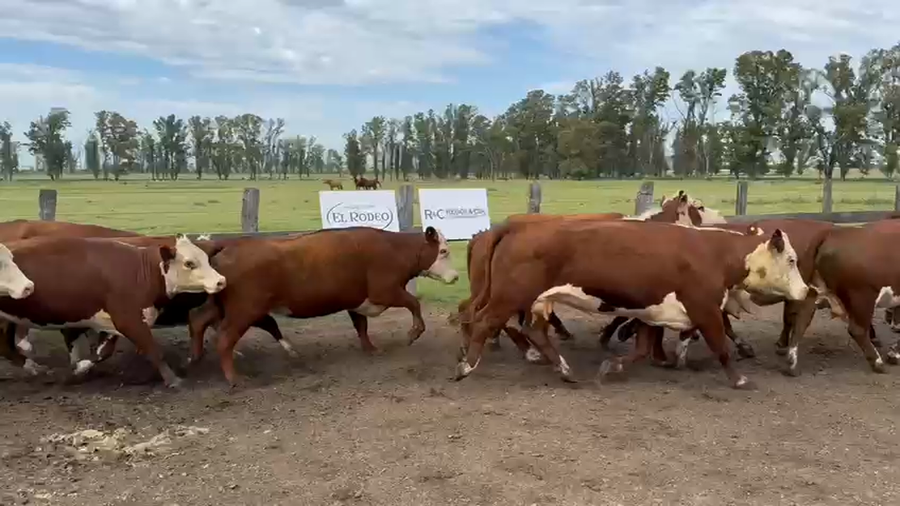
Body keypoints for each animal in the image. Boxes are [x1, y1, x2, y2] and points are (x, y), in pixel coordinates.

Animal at [0, 235, 226, 386]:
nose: (220, 281)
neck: (140, 271)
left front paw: (79, 368)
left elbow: (103, 352)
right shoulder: (129, 319)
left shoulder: (111, 323)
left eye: (207, 259)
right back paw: (33, 367)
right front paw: (173, 380)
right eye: (189, 263)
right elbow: (153, 350)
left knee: (7, 348)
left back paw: (34, 367)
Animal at [184, 226, 458, 386]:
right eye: (443, 251)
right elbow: (414, 303)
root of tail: (229, 244)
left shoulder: (356, 300)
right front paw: (414, 332)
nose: (456, 277)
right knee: (224, 339)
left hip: (221, 304)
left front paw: (370, 349)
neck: (394, 248)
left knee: (197, 318)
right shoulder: (385, 291)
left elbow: (361, 326)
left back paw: (194, 358)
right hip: (244, 310)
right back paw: (234, 378)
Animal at [456, 219, 808, 389]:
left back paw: (565, 370)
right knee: (484, 322)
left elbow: (642, 348)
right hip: (509, 295)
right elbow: (720, 346)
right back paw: (465, 366)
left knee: (534, 332)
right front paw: (739, 379)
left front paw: (613, 366)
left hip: (536, 300)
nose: (805, 290)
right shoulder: (705, 309)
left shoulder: (651, 313)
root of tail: (515, 227)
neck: (716, 254)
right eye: (791, 260)